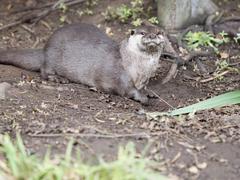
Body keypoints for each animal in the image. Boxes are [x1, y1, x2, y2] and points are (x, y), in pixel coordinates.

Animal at [0, 23, 172, 104]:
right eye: (142, 32)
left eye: (159, 32)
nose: (152, 36)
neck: (138, 69)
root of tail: (44, 49)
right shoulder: (119, 74)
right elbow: (127, 89)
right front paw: (141, 97)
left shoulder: (144, 78)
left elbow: (144, 87)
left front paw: (149, 92)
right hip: (53, 56)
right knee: (44, 71)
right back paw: (59, 79)